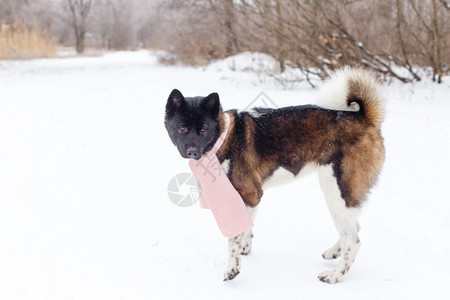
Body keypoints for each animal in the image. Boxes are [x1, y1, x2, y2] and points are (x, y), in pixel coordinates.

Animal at [163, 68, 384, 284]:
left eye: (203, 129)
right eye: (182, 128)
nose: (192, 152)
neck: (224, 137)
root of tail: (364, 118)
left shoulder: (249, 194)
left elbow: (233, 238)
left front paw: (233, 268)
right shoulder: (252, 198)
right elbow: (247, 227)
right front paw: (245, 247)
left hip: (336, 191)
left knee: (353, 240)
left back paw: (335, 275)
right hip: (339, 194)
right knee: (355, 226)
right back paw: (333, 253)